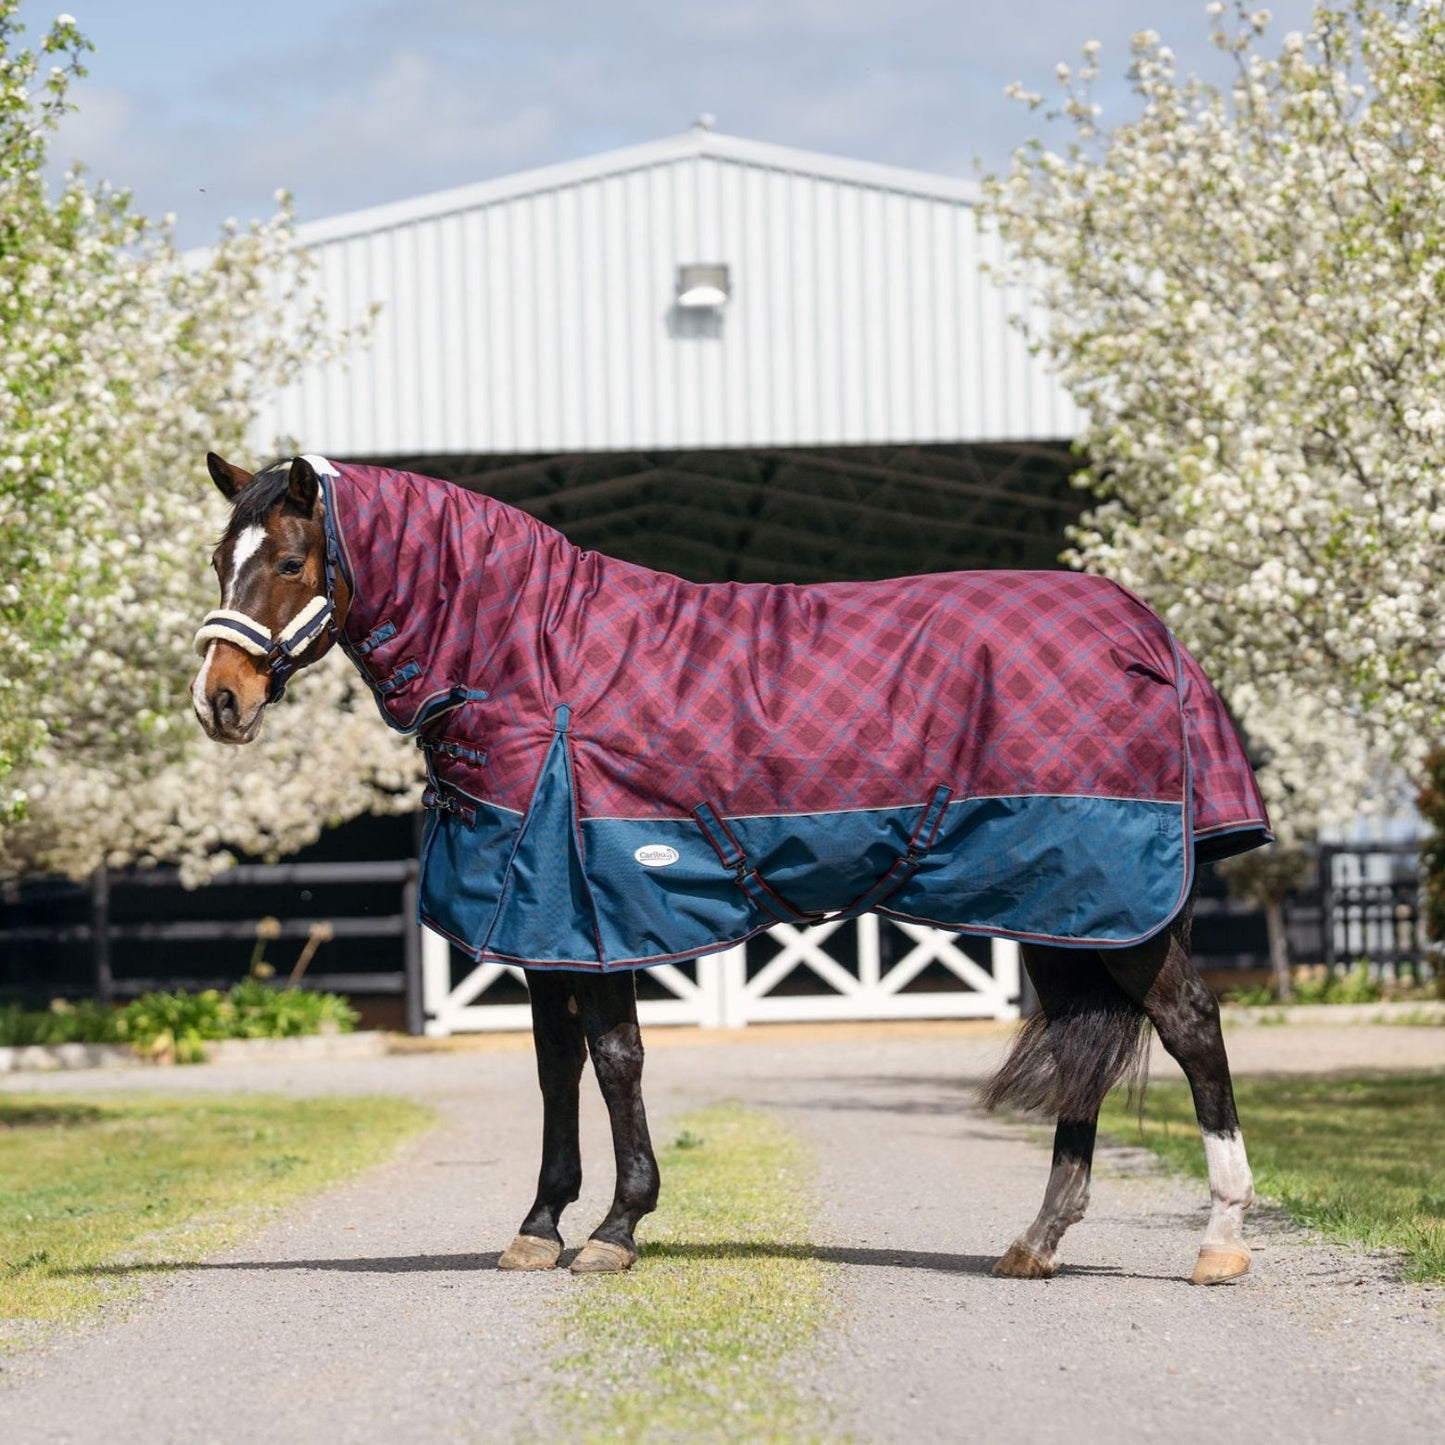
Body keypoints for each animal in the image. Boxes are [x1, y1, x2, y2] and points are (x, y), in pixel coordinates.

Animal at [192, 451, 1271, 1284]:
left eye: (288, 558)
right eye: (216, 559)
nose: (219, 700)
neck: (535, 661)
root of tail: (1149, 635)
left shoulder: (596, 909)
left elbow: (616, 1059)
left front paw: (616, 1227)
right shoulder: (543, 922)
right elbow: (553, 1065)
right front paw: (539, 1226)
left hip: (1112, 909)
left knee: (1189, 1026)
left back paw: (1218, 1241)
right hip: (1061, 907)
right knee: (1087, 1043)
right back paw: (1036, 1241)